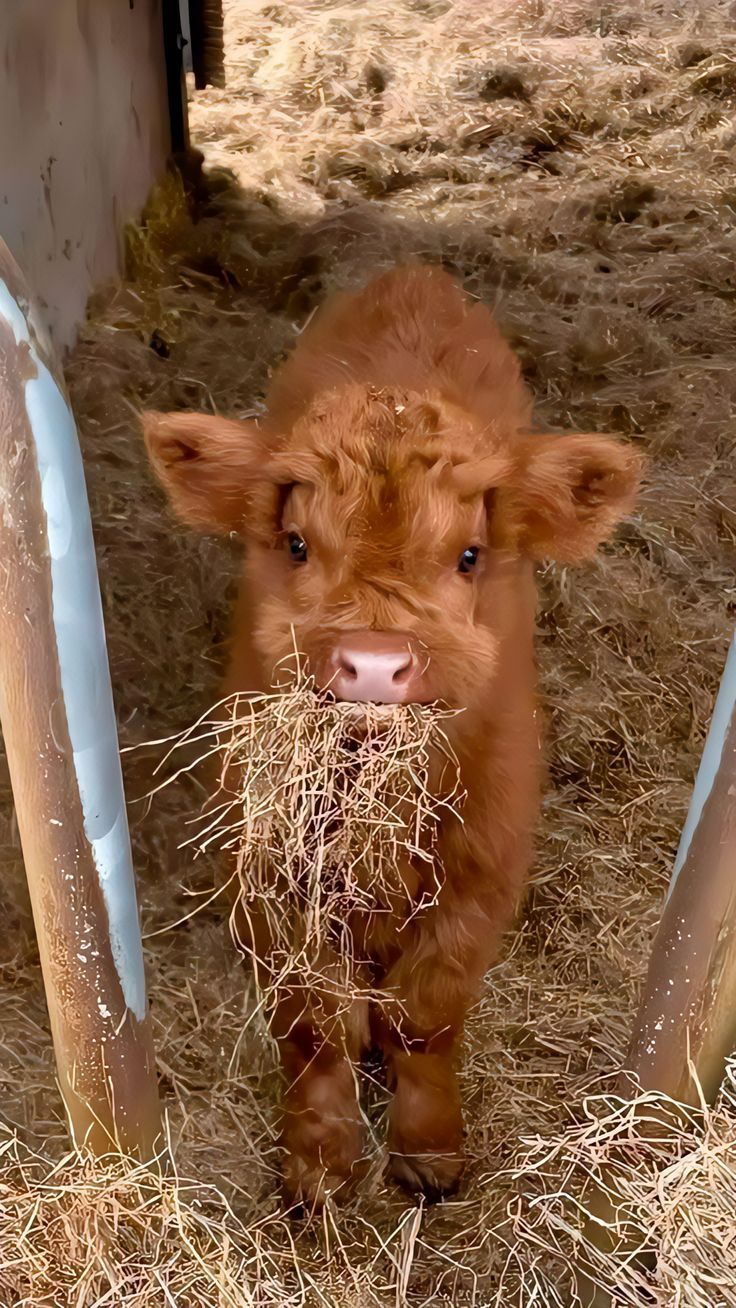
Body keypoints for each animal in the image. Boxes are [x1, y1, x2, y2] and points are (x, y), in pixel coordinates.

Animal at [143, 265, 641, 1209]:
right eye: (297, 544)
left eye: (470, 557)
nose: (374, 665)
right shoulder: (269, 872)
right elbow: (314, 1022)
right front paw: (319, 1161)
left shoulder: (483, 864)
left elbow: (425, 1015)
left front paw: (429, 1149)